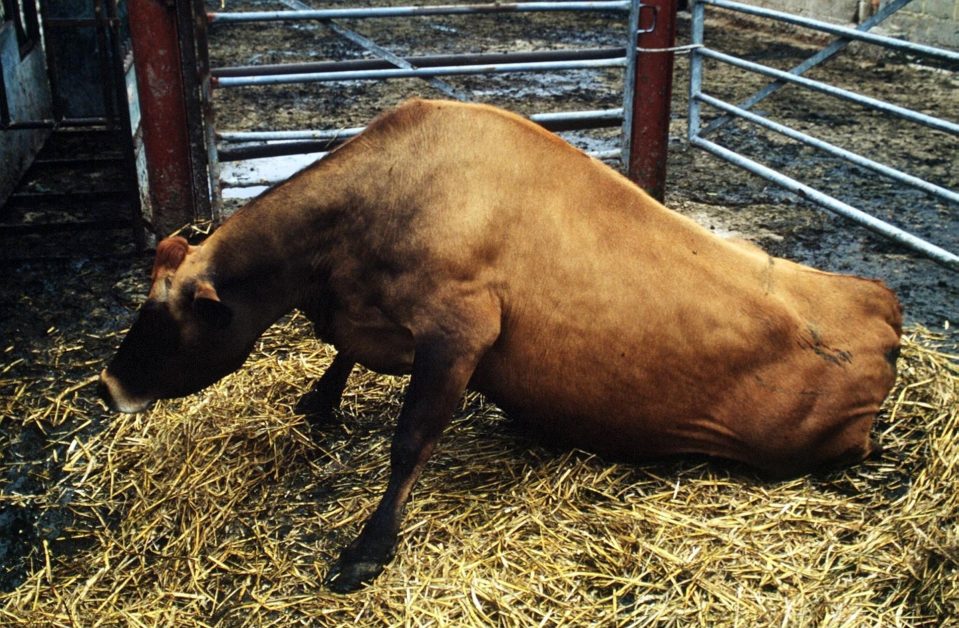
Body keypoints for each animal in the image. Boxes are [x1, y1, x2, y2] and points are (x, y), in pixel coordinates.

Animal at [97, 99, 900, 592]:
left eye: (172, 319)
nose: (109, 387)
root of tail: (884, 309)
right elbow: (343, 358)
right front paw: (318, 399)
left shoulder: (462, 328)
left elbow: (410, 441)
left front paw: (367, 551)